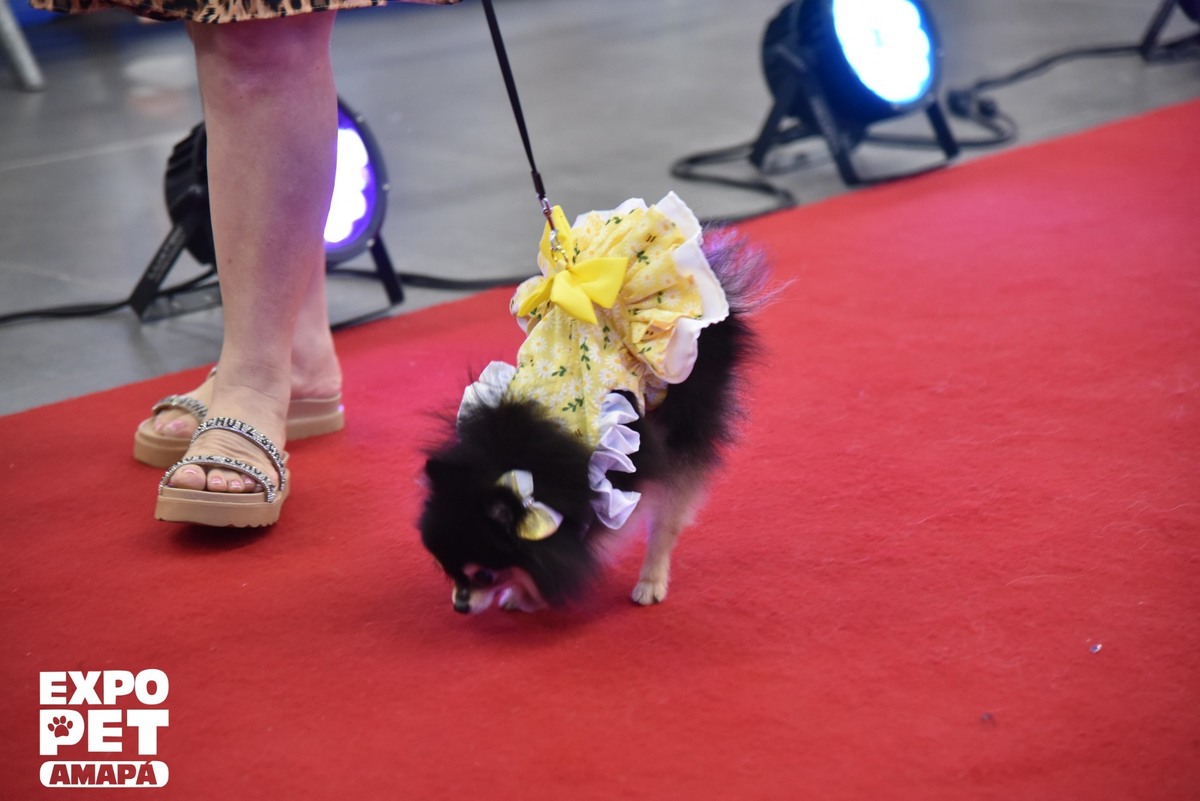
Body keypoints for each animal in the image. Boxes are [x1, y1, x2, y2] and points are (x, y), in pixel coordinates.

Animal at [419, 197, 770, 615]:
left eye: (483, 575)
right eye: (447, 569)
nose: (460, 605)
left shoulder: (620, 475)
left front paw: (525, 594)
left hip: (686, 417)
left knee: (669, 514)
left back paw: (651, 580)